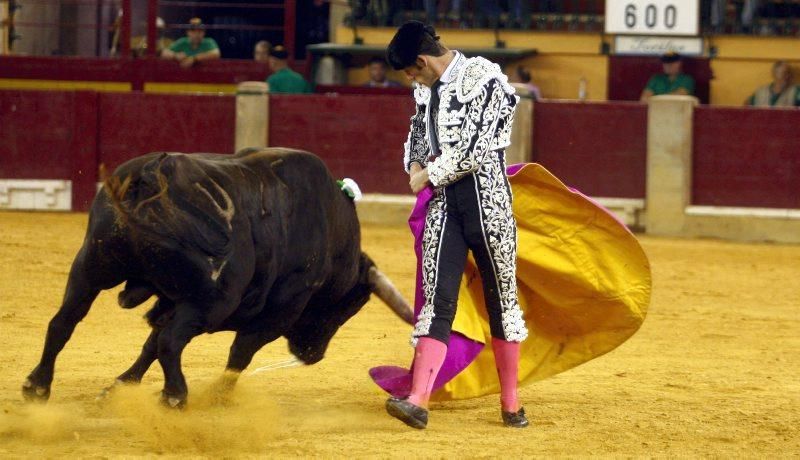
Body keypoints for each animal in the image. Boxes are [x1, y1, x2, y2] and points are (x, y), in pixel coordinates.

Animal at [23, 147, 412, 406]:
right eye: (347, 308)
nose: (313, 355)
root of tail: (151, 176)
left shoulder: (171, 301)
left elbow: (151, 342)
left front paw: (121, 385)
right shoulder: (277, 313)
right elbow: (240, 353)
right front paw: (218, 396)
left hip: (91, 266)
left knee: (63, 321)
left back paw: (37, 385)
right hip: (209, 301)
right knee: (172, 342)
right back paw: (175, 396)